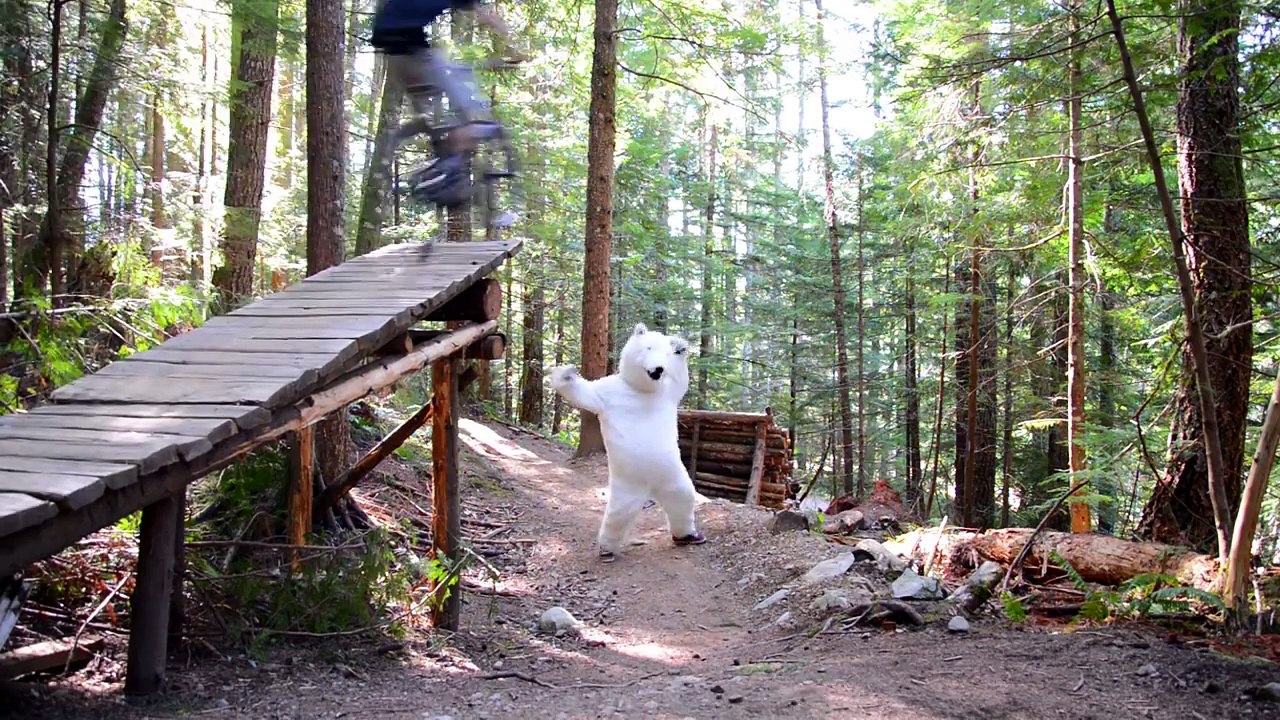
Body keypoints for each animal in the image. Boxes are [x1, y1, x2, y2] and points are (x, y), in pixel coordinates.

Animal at [550, 323, 705, 562]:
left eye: (666, 355)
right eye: (648, 348)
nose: (659, 369)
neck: (641, 390)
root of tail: (650, 490)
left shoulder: (667, 393)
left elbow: (681, 382)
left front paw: (681, 346)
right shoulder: (610, 392)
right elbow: (586, 394)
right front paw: (566, 373)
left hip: (671, 475)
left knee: (682, 498)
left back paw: (688, 536)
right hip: (628, 482)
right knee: (619, 514)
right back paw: (606, 549)